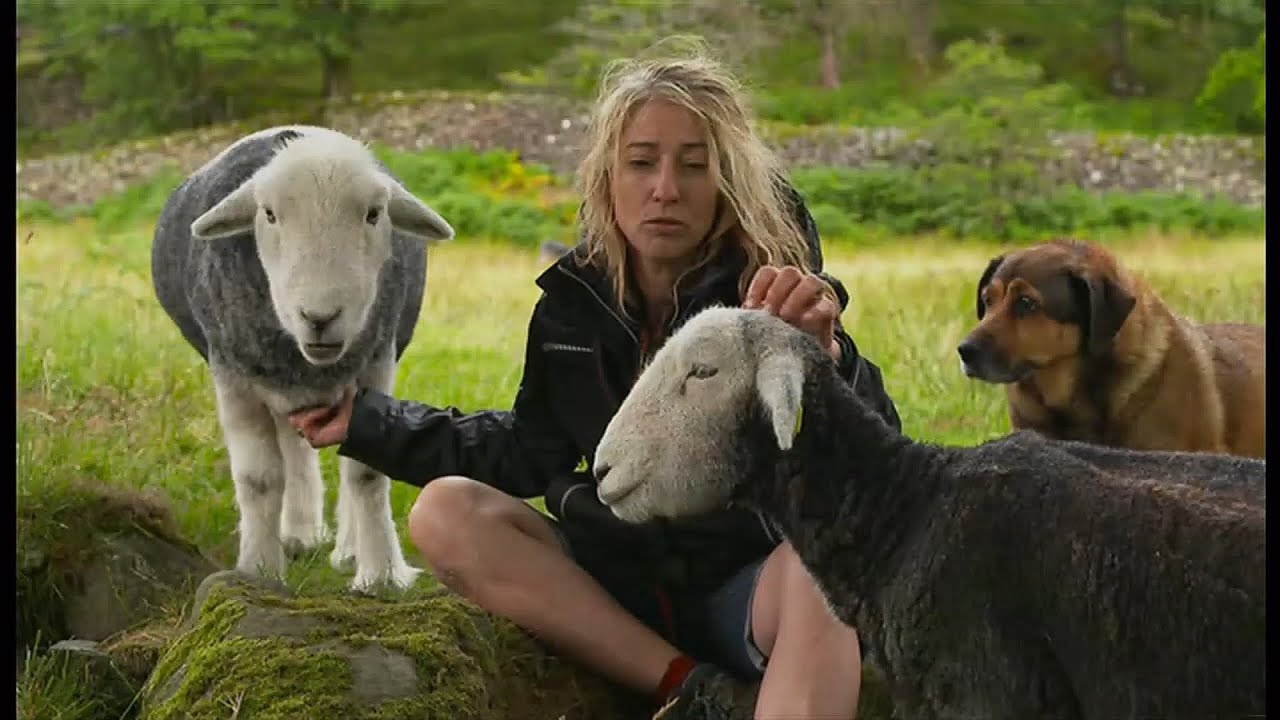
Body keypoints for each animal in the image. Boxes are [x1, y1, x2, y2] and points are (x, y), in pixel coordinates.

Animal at [151, 125, 454, 592]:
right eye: (269, 214)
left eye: (374, 214)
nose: (320, 318)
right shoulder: (233, 377)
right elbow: (259, 480)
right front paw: (258, 571)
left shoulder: (376, 363)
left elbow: (366, 470)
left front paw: (382, 575)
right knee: (291, 448)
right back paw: (298, 533)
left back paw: (347, 550)